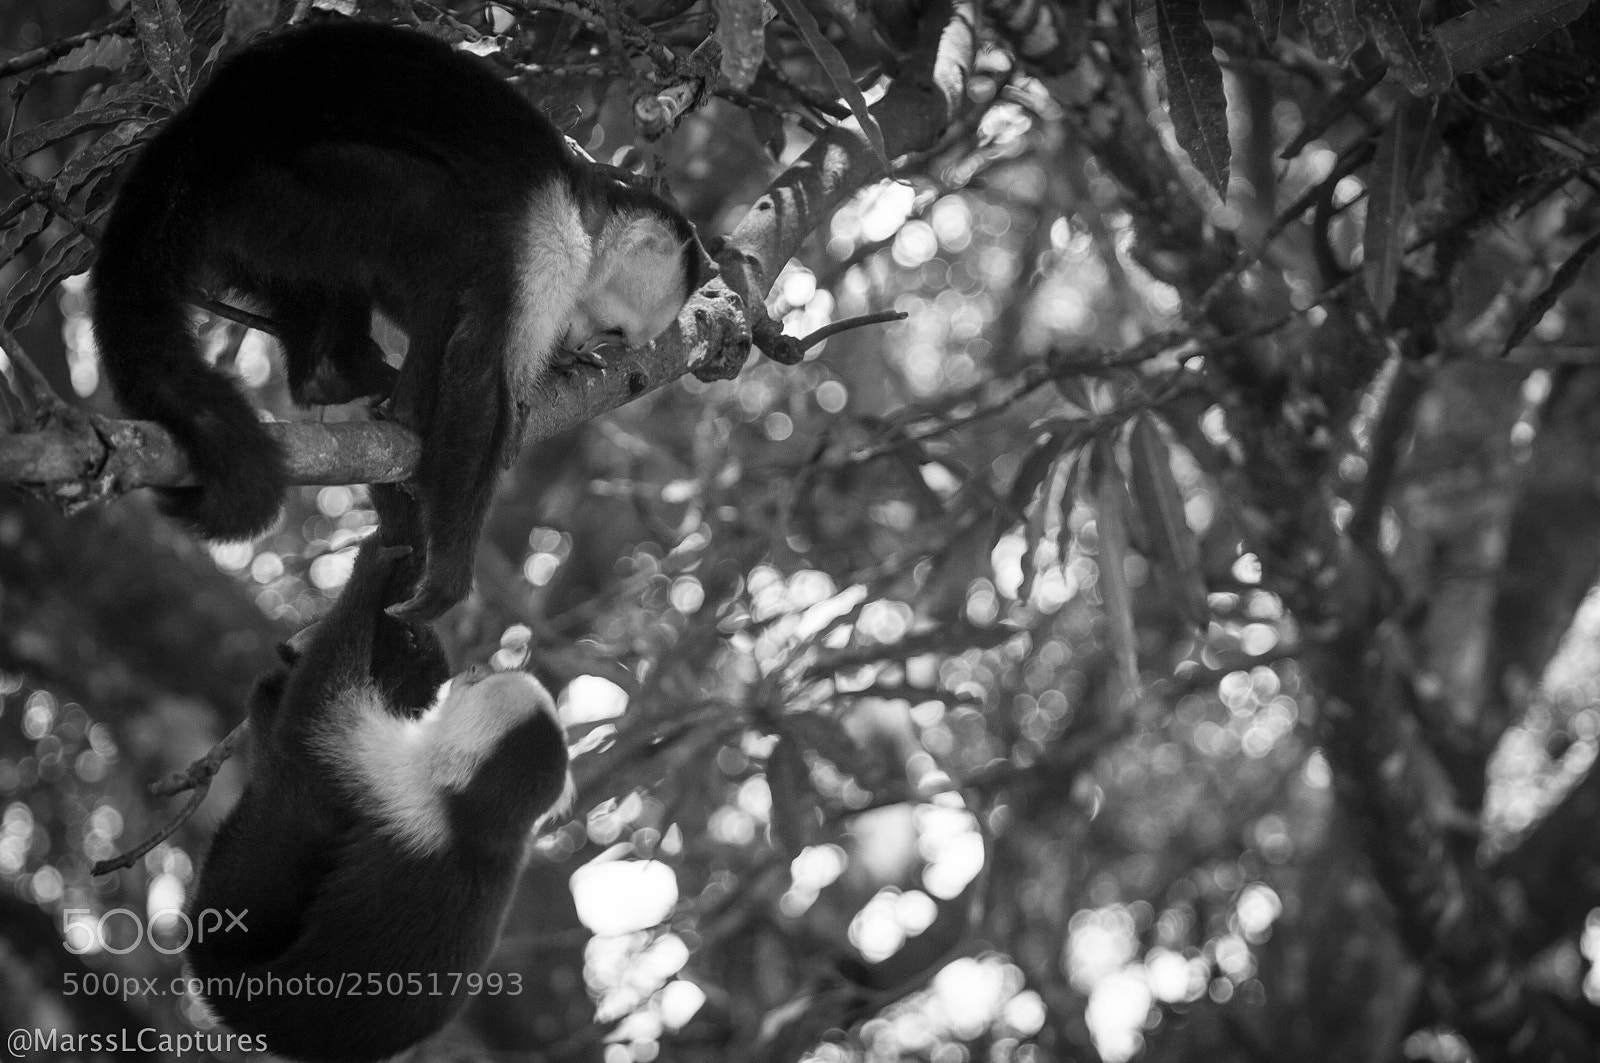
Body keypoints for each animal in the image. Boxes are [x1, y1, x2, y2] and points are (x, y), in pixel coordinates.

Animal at [91, 20, 709, 619]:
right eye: (615, 329)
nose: (584, 343)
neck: (582, 209)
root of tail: (195, 131)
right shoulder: (547, 244)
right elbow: (475, 374)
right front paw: (449, 573)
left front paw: (554, 367)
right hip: (272, 192)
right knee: (429, 216)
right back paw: (404, 405)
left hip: (254, 227)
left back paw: (336, 375)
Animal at [185, 492, 572, 1063]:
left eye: (475, 686)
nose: (474, 669)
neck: (471, 821)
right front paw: (412, 632)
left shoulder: (393, 779)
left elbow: (311, 714)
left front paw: (370, 571)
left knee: (287, 805)